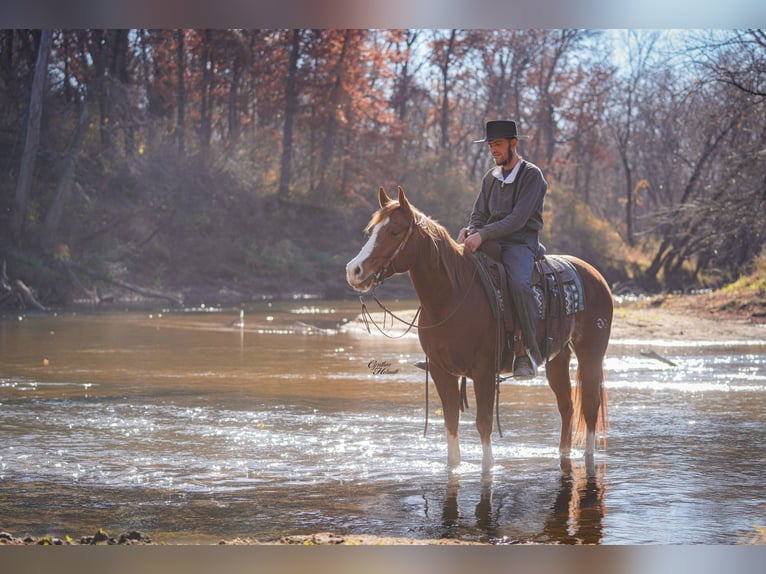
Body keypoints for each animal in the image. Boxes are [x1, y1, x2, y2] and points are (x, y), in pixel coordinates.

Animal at [346, 186, 613, 473]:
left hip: (591, 355)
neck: (451, 296)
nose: (354, 270)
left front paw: (488, 471)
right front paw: (454, 468)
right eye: (370, 231)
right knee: (567, 407)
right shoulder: (440, 371)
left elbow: (484, 424)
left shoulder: (484, 371)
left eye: (394, 231)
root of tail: (595, 275)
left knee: (590, 406)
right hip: (558, 357)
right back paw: (563, 454)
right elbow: (451, 422)